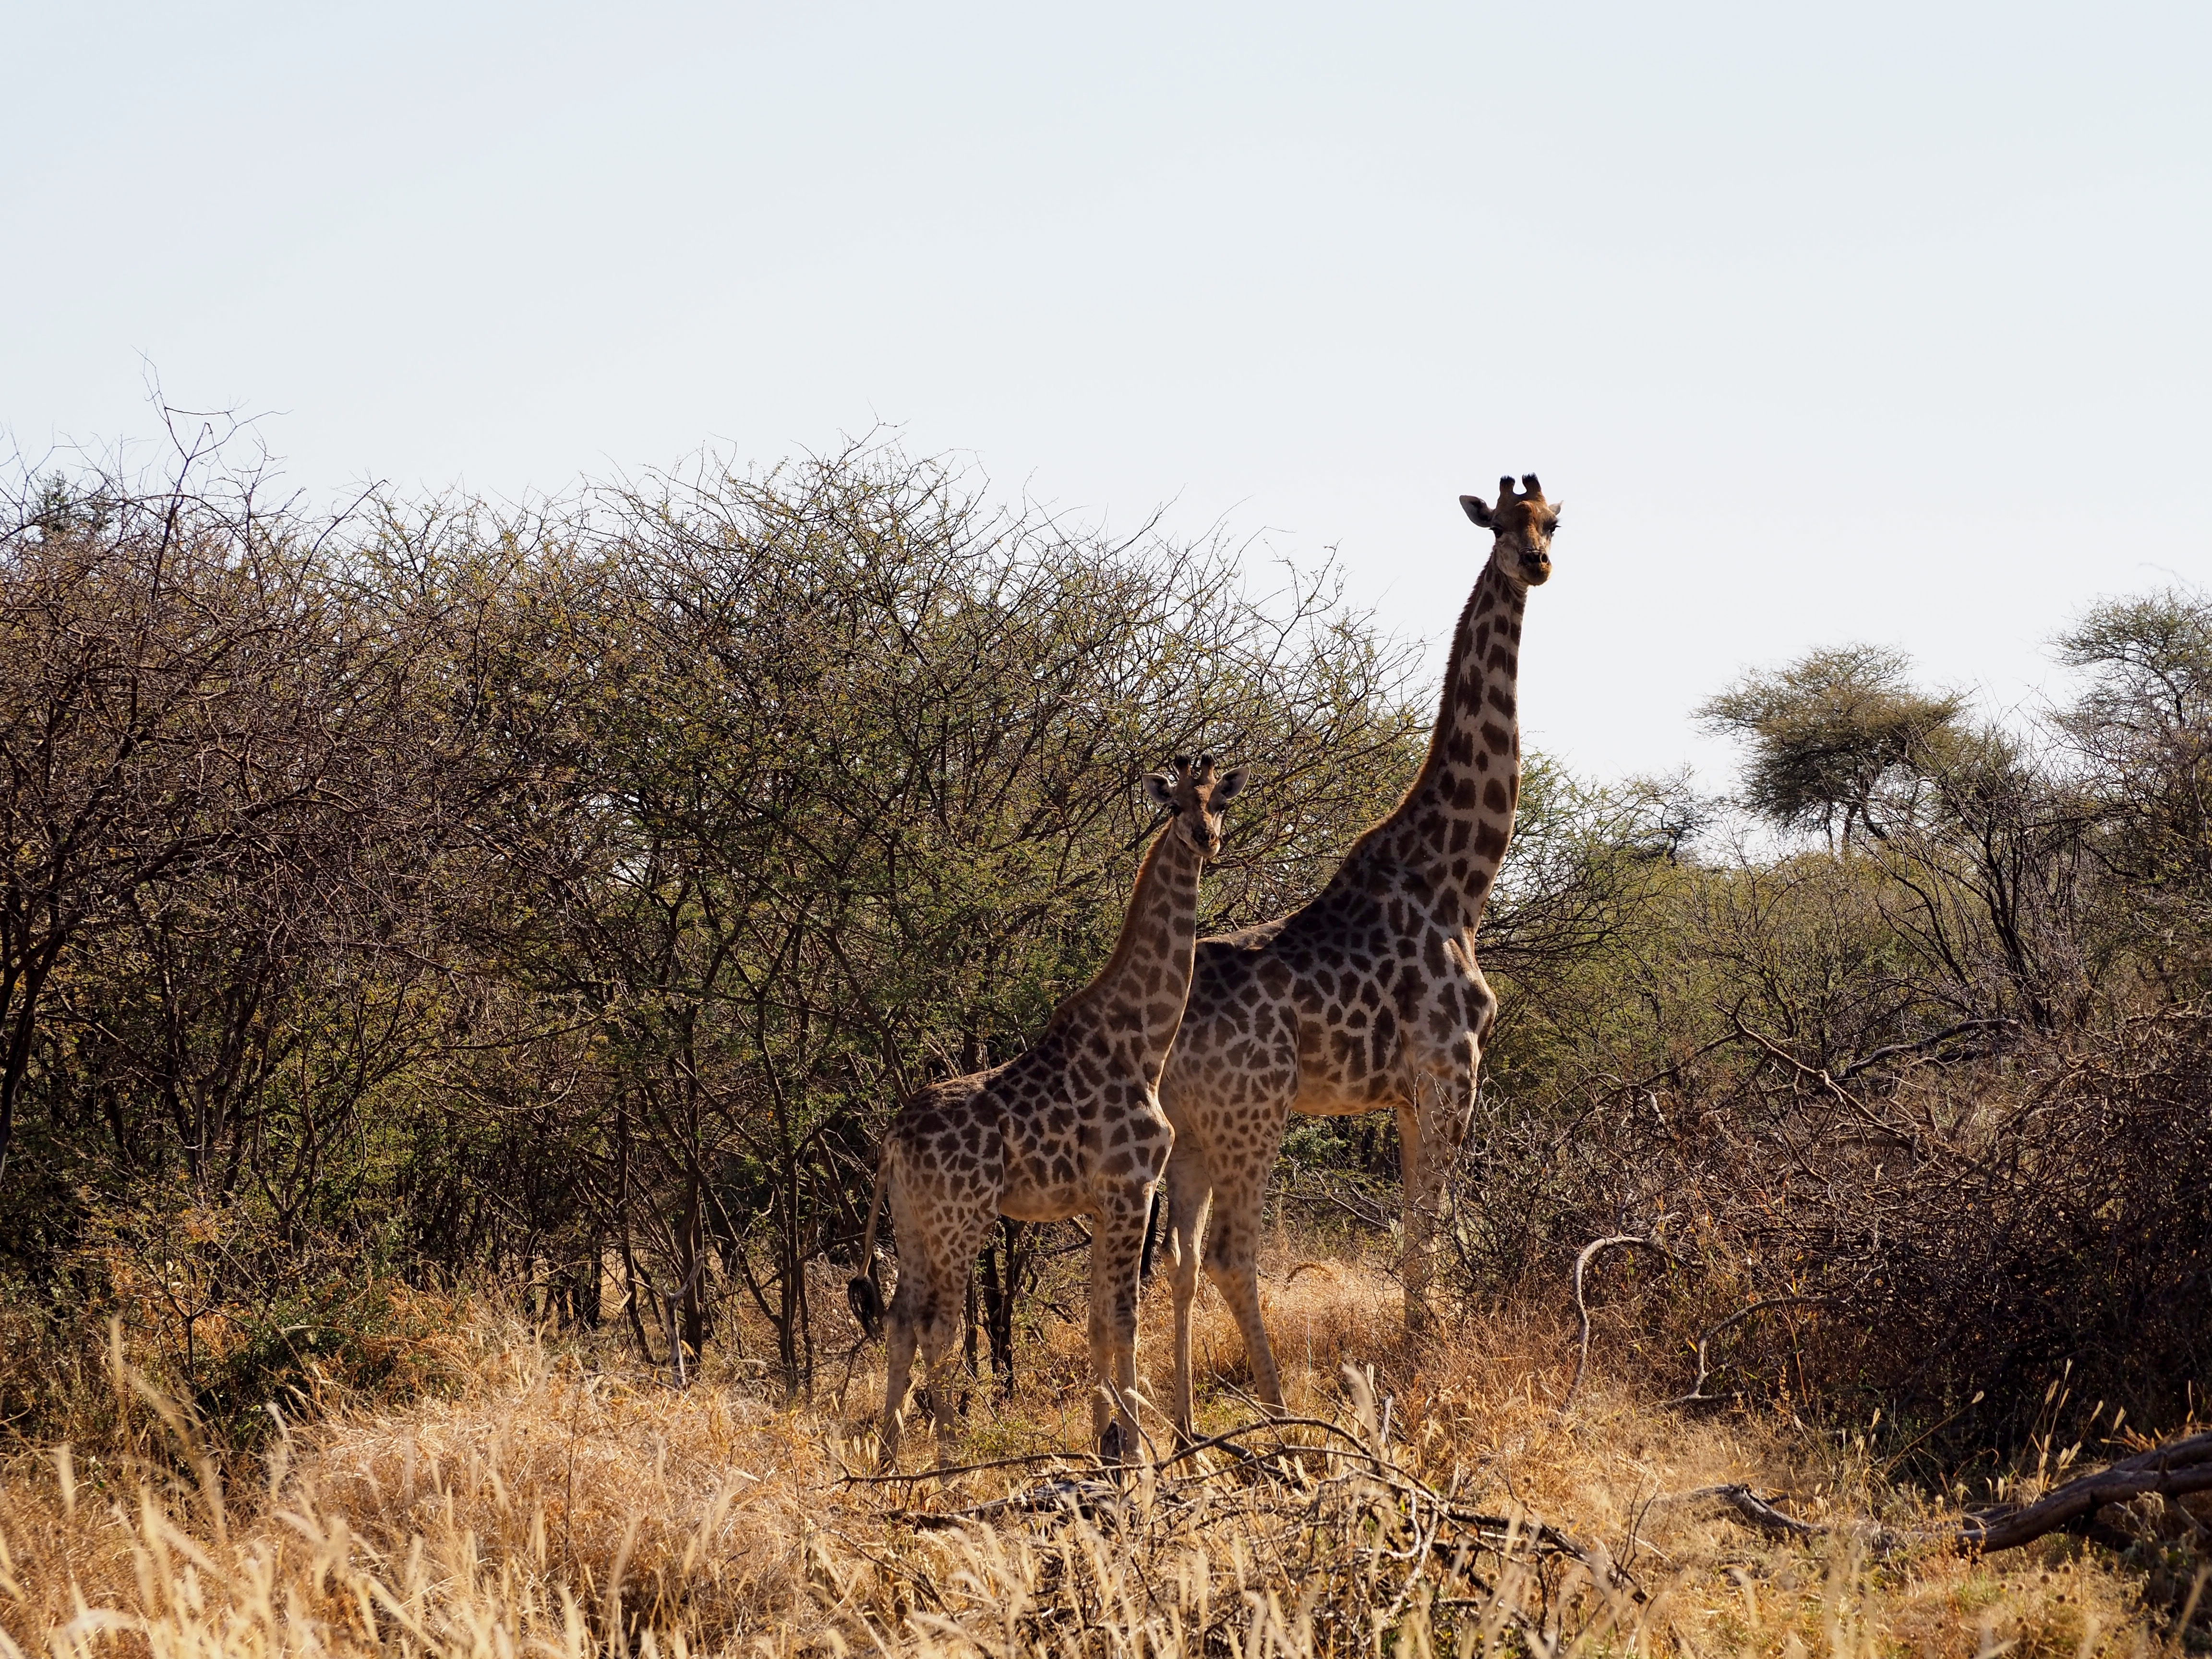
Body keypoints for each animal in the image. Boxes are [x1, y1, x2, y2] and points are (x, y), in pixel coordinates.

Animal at [845, 761, 1247, 1460]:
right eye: (1174, 805)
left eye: (1220, 800)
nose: (1207, 839)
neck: (1143, 1042)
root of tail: (892, 1138)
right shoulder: (1130, 1189)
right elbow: (1124, 1320)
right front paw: (1135, 1448)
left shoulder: (1102, 1202)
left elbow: (1097, 1320)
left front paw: (1107, 1441)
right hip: (961, 1220)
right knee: (939, 1326)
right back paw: (950, 1457)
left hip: (913, 1222)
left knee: (899, 1320)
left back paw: (891, 1459)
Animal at [1159, 473, 1557, 1433]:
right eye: (1503, 522)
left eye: (1554, 520)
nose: (1536, 563)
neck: (1460, 878)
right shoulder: (1451, 1073)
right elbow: (1427, 1239)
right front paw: (1426, 1368)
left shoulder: (1408, 1095)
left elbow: (1417, 1239)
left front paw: (1418, 1354)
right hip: (1254, 1116)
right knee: (1228, 1255)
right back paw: (1277, 1421)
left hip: (1191, 1132)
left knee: (1177, 1262)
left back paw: (1179, 1427)